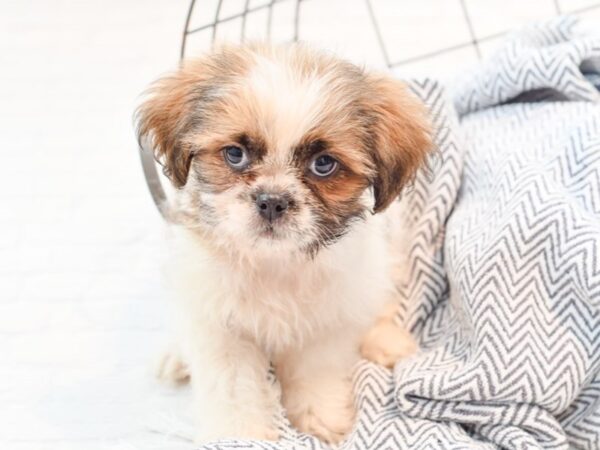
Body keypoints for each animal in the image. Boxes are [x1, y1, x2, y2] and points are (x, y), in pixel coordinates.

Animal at [137, 44, 432, 444]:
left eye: (323, 164)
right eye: (235, 154)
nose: (272, 201)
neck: (272, 261)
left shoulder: (327, 319)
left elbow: (316, 371)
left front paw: (320, 414)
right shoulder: (221, 327)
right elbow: (233, 388)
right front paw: (239, 435)